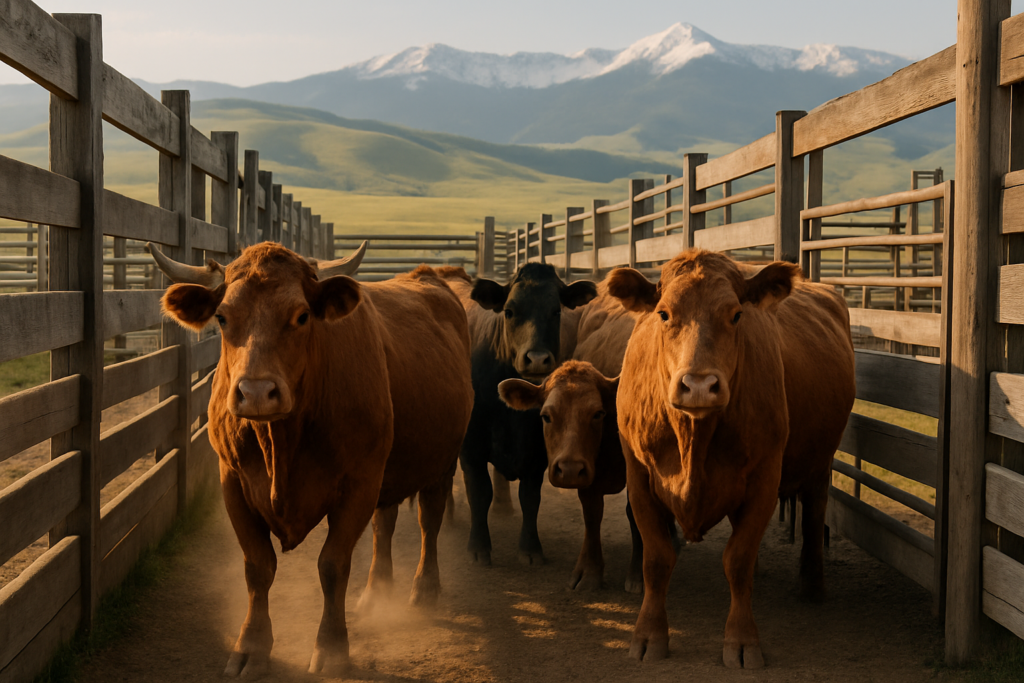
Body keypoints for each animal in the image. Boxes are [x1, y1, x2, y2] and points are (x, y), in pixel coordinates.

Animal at [151, 242, 473, 677]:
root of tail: (430, 276)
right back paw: (376, 593)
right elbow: (258, 567)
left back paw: (424, 588)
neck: (281, 444)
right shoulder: (232, 482)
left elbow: (333, 565)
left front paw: (332, 648)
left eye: (302, 316)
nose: (256, 392)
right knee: (384, 525)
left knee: (429, 519)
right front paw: (251, 646)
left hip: (441, 460)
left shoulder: (358, 483)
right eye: (222, 316)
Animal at [439, 263, 597, 565]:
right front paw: (479, 547)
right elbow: (479, 493)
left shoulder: (538, 449)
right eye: (509, 311)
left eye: (556, 311)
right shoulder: (471, 447)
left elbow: (530, 497)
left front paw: (530, 548)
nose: (536, 359)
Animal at [607, 249, 855, 669]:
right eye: (663, 313)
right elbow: (656, 560)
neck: (694, 438)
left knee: (814, 512)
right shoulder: (639, 479)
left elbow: (737, 561)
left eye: (736, 314)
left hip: (820, 463)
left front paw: (741, 641)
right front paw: (649, 635)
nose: (699, 385)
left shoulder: (764, 480)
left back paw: (812, 585)